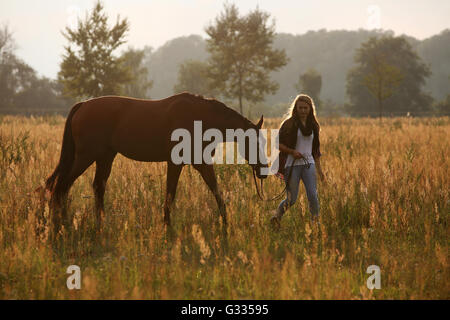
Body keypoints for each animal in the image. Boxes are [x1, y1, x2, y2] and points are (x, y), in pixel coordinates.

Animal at [44, 92, 268, 232]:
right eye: (254, 142)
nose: (263, 171)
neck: (200, 117)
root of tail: (83, 105)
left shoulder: (201, 163)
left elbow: (216, 191)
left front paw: (226, 222)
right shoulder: (176, 163)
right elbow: (171, 193)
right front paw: (167, 226)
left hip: (105, 157)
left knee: (97, 187)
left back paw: (99, 223)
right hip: (86, 157)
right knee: (61, 186)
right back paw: (61, 224)